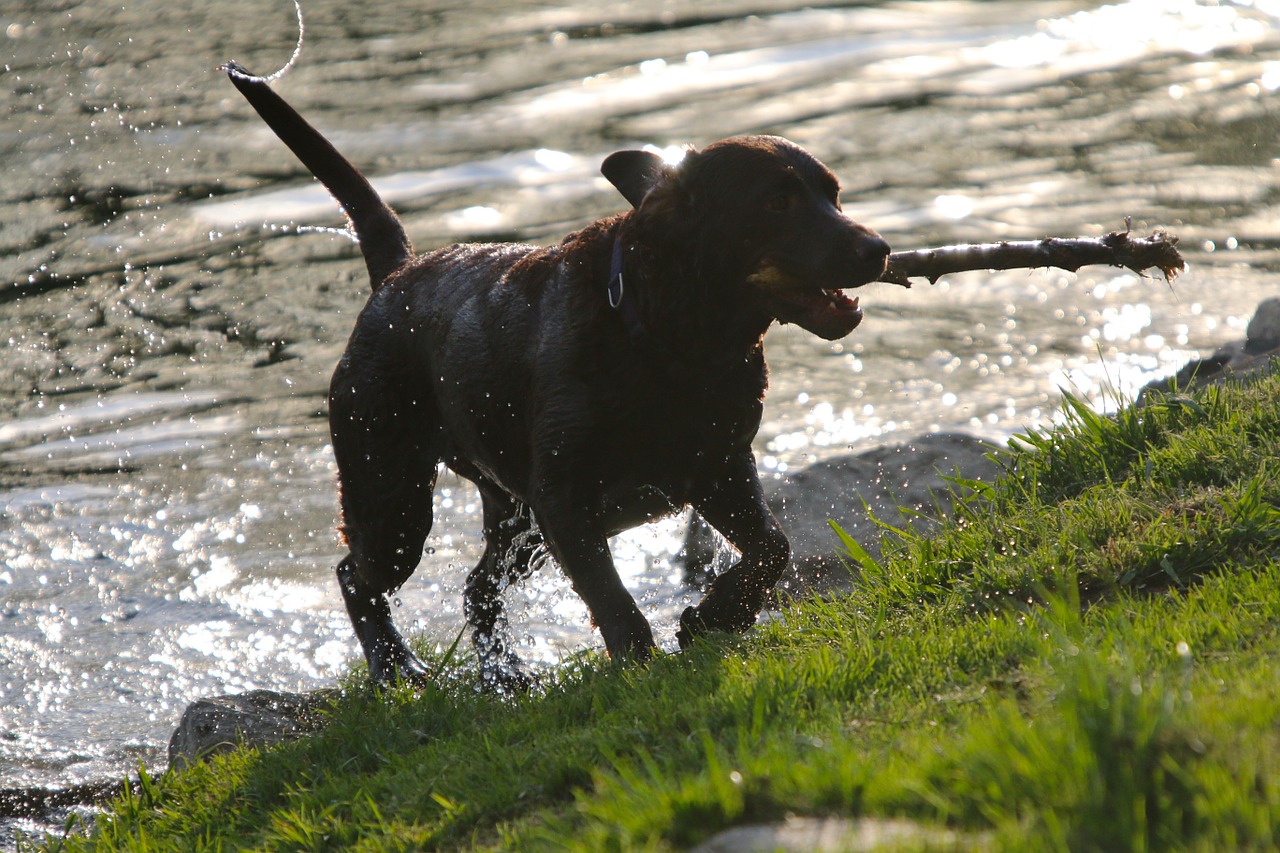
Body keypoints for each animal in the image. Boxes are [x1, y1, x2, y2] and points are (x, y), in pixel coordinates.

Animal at [222, 59, 890, 686]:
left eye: (833, 194)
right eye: (776, 202)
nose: (878, 248)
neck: (670, 348)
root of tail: (395, 275)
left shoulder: (719, 469)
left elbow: (772, 547)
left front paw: (714, 616)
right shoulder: (566, 501)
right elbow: (615, 602)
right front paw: (644, 666)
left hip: (514, 519)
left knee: (474, 586)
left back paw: (504, 675)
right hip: (394, 494)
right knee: (355, 575)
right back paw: (395, 667)